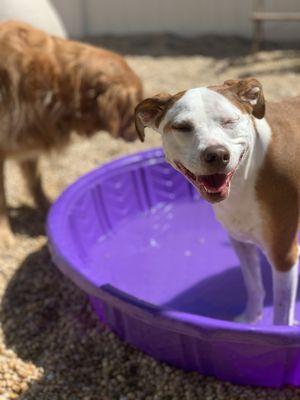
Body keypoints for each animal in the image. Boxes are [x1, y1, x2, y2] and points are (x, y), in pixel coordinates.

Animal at [0, 21, 143, 244]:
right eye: (134, 107)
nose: (139, 135)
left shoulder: (28, 142)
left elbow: (35, 182)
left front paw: (48, 209)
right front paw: (5, 236)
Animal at [136, 77, 300, 324]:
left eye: (229, 121)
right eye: (182, 127)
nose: (216, 154)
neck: (248, 174)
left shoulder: (284, 256)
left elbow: (281, 315)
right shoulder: (240, 241)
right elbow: (254, 286)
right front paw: (250, 321)